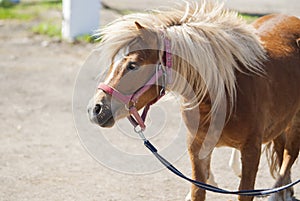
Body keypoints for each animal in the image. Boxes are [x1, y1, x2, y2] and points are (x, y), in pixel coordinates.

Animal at [87, 1, 300, 201]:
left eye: (132, 65)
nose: (95, 109)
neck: (224, 93)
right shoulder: (196, 147)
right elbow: (198, 190)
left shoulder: (251, 151)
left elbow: (245, 192)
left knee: (289, 156)